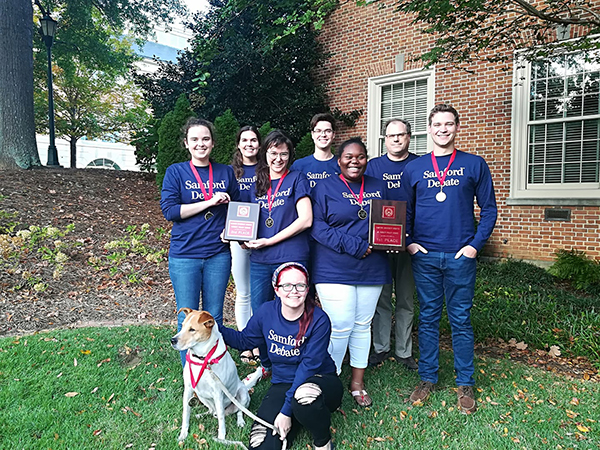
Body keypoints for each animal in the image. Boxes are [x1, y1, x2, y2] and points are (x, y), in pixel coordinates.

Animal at [170, 308, 262, 442]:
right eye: (182, 326)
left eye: (192, 329)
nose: (172, 340)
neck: (202, 358)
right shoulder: (188, 390)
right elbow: (185, 415)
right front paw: (183, 435)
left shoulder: (218, 392)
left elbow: (221, 420)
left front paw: (221, 439)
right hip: (202, 396)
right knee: (212, 410)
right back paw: (201, 415)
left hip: (242, 395)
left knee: (239, 411)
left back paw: (240, 422)